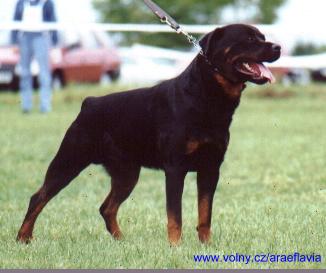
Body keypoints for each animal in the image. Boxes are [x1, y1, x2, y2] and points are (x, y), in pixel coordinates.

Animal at [16, 23, 280, 244]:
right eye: (249, 39)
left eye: (262, 37)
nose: (277, 46)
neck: (207, 96)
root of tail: (89, 102)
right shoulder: (175, 168)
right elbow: (175, 216)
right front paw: (175, 247)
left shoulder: (210, 168)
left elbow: (205, 214)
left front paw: (206, 246)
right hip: (69, 160)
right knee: (38, 197)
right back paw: (23, 238)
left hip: (127, 173)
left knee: (106, 208)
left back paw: (121, 241)